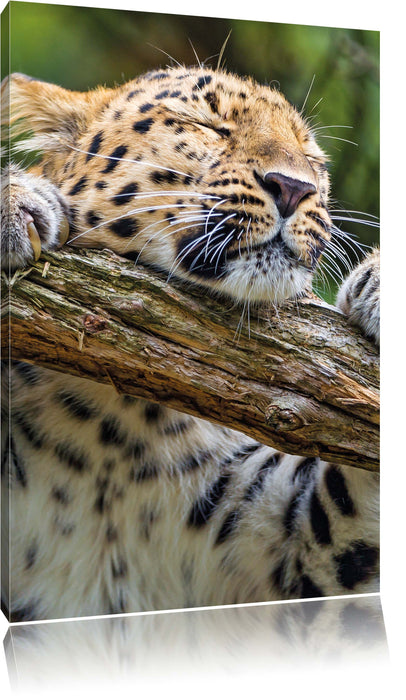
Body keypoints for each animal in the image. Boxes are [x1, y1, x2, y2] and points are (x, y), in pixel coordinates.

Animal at [0, 66, 380, 621]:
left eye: (313, 159)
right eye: (208, 126)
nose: (294, 188)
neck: (118, 418)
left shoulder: (287, 560)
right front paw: (16, 203)